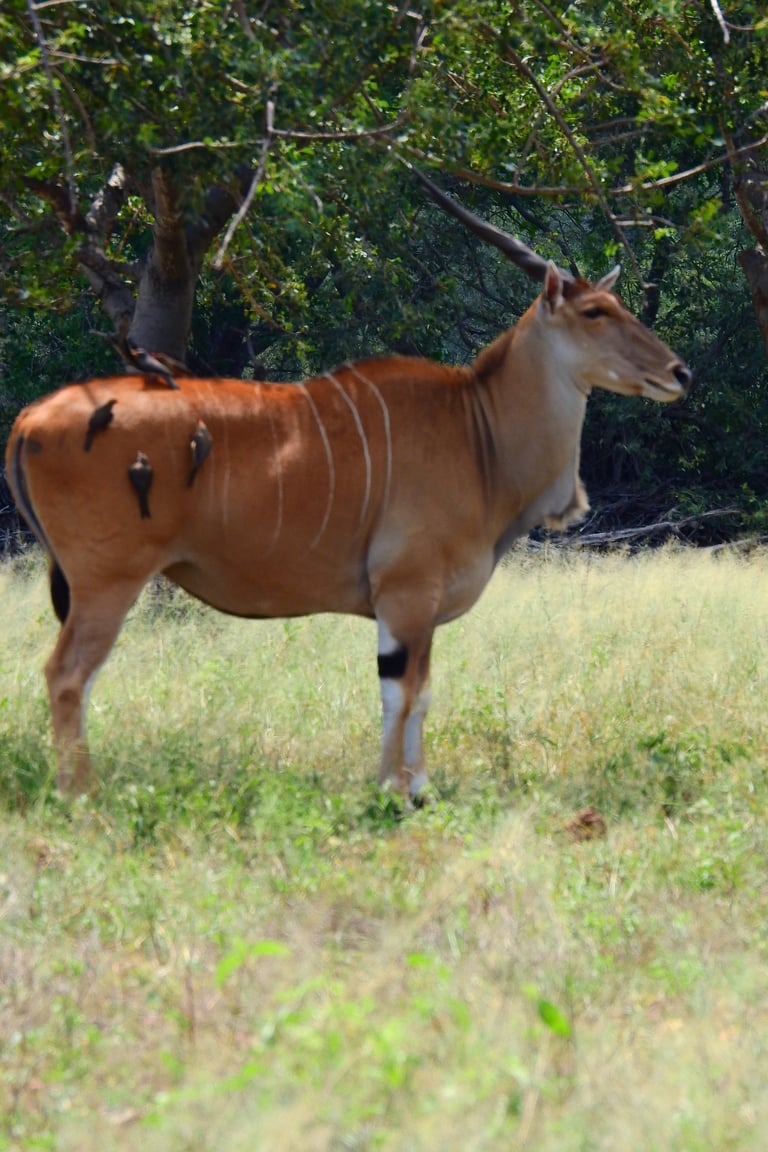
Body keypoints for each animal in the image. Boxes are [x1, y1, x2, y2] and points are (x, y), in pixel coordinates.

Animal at [5, 174, 690, 800]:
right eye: (596, 312)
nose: (679, 372)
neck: (477, 429)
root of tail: (32, 418)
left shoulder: (418, 609)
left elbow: (421, 690)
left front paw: (419, 786)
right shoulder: (406, 594)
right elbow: (402, 692)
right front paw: (396, 792)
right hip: (107, 581)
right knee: (66, 675)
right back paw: (80, 795)